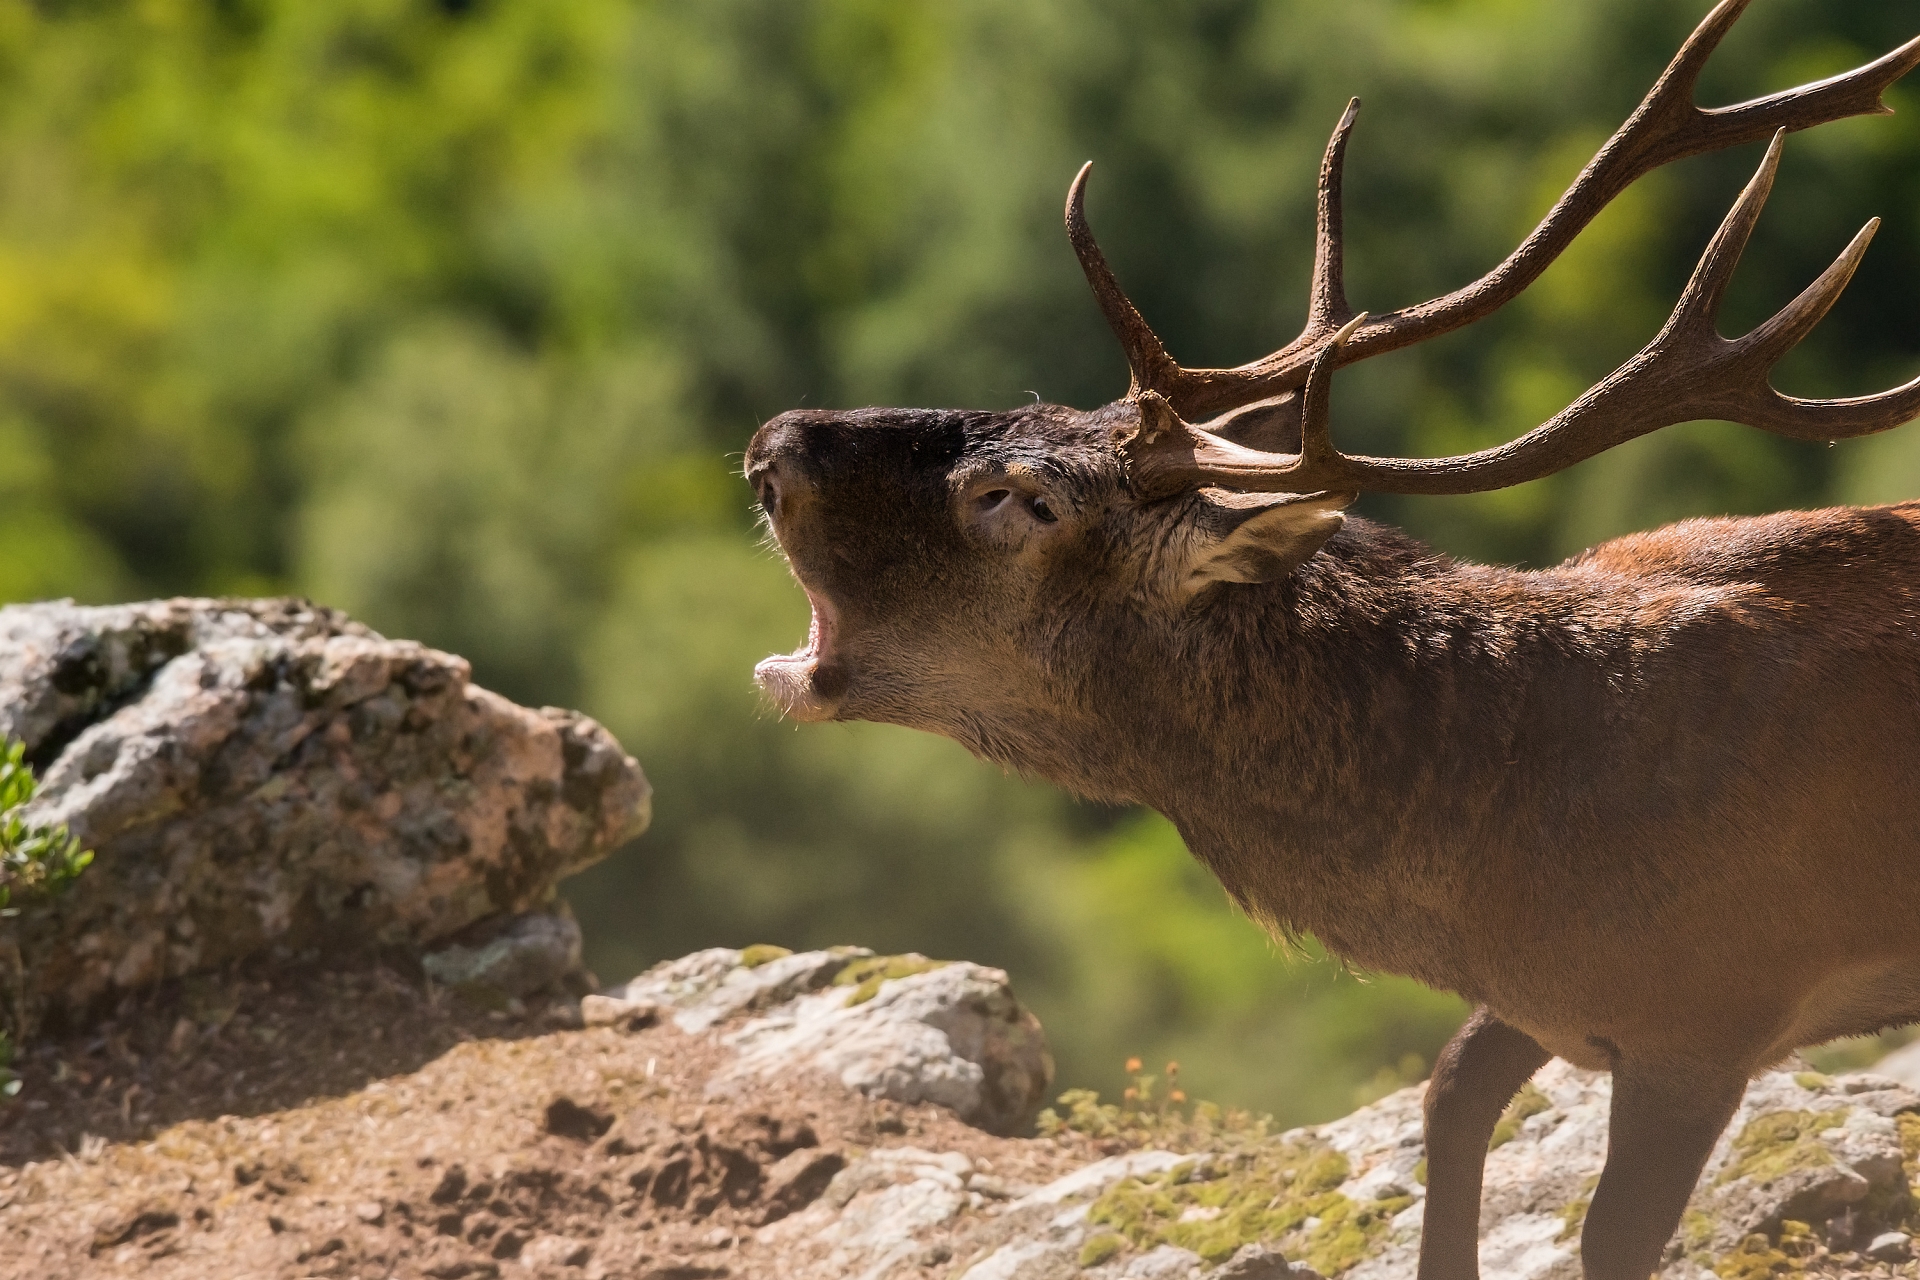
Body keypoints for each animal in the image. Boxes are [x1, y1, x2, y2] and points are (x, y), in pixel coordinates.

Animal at [743, 3, 1920, 1277]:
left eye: (1026, 497)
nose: (774, 442)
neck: (1503, 851)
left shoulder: (1710, 1007)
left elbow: (1604, 1230)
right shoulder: (1542, 991)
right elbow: (1447, 1095)